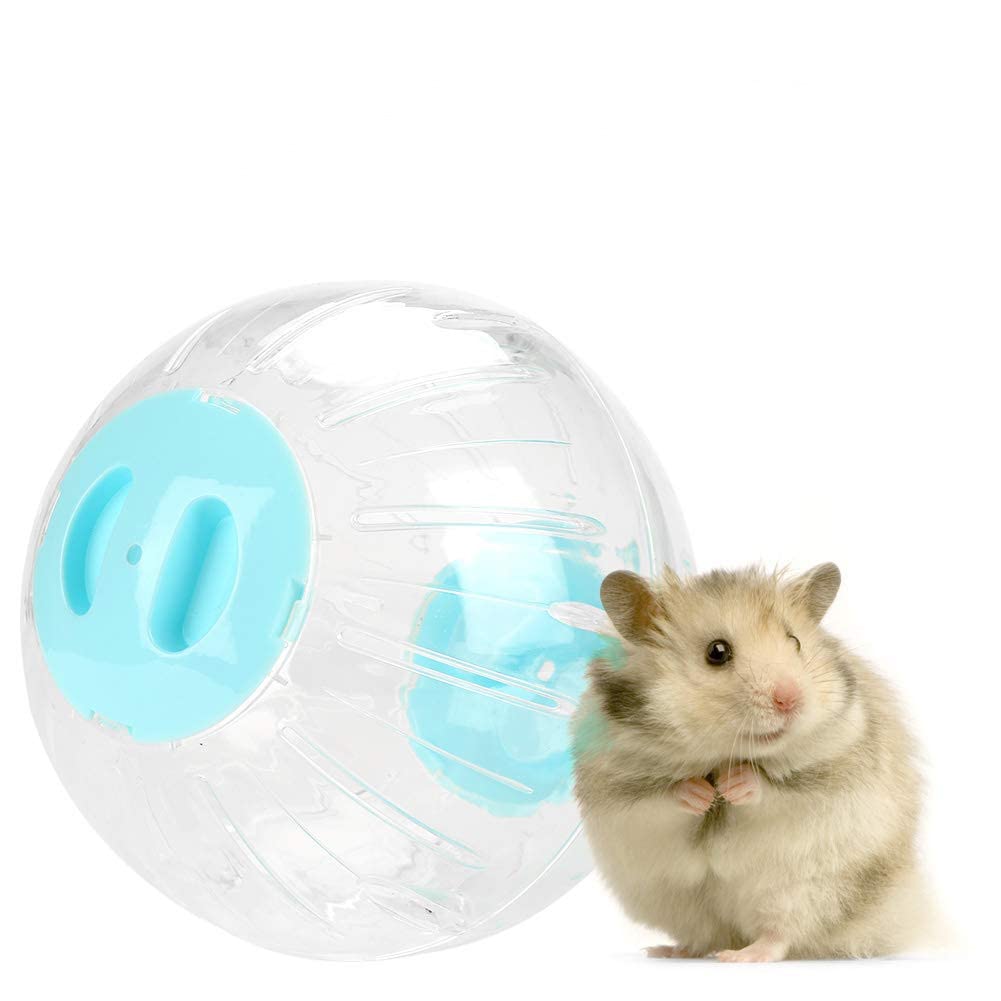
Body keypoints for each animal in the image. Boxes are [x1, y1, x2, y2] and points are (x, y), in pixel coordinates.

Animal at [572, 563, 937, 961]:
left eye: (795, 642)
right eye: (717, 652)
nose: (790, 699)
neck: (720, 754)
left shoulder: (829, 771)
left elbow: (772, 789)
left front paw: (733, 784)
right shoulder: (618, 790)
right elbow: (662, 798)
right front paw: (701, 793)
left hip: (807, 890)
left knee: (781, 935)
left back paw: (741, 956)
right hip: (674, 901)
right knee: (705, 936)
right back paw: (667, 950)